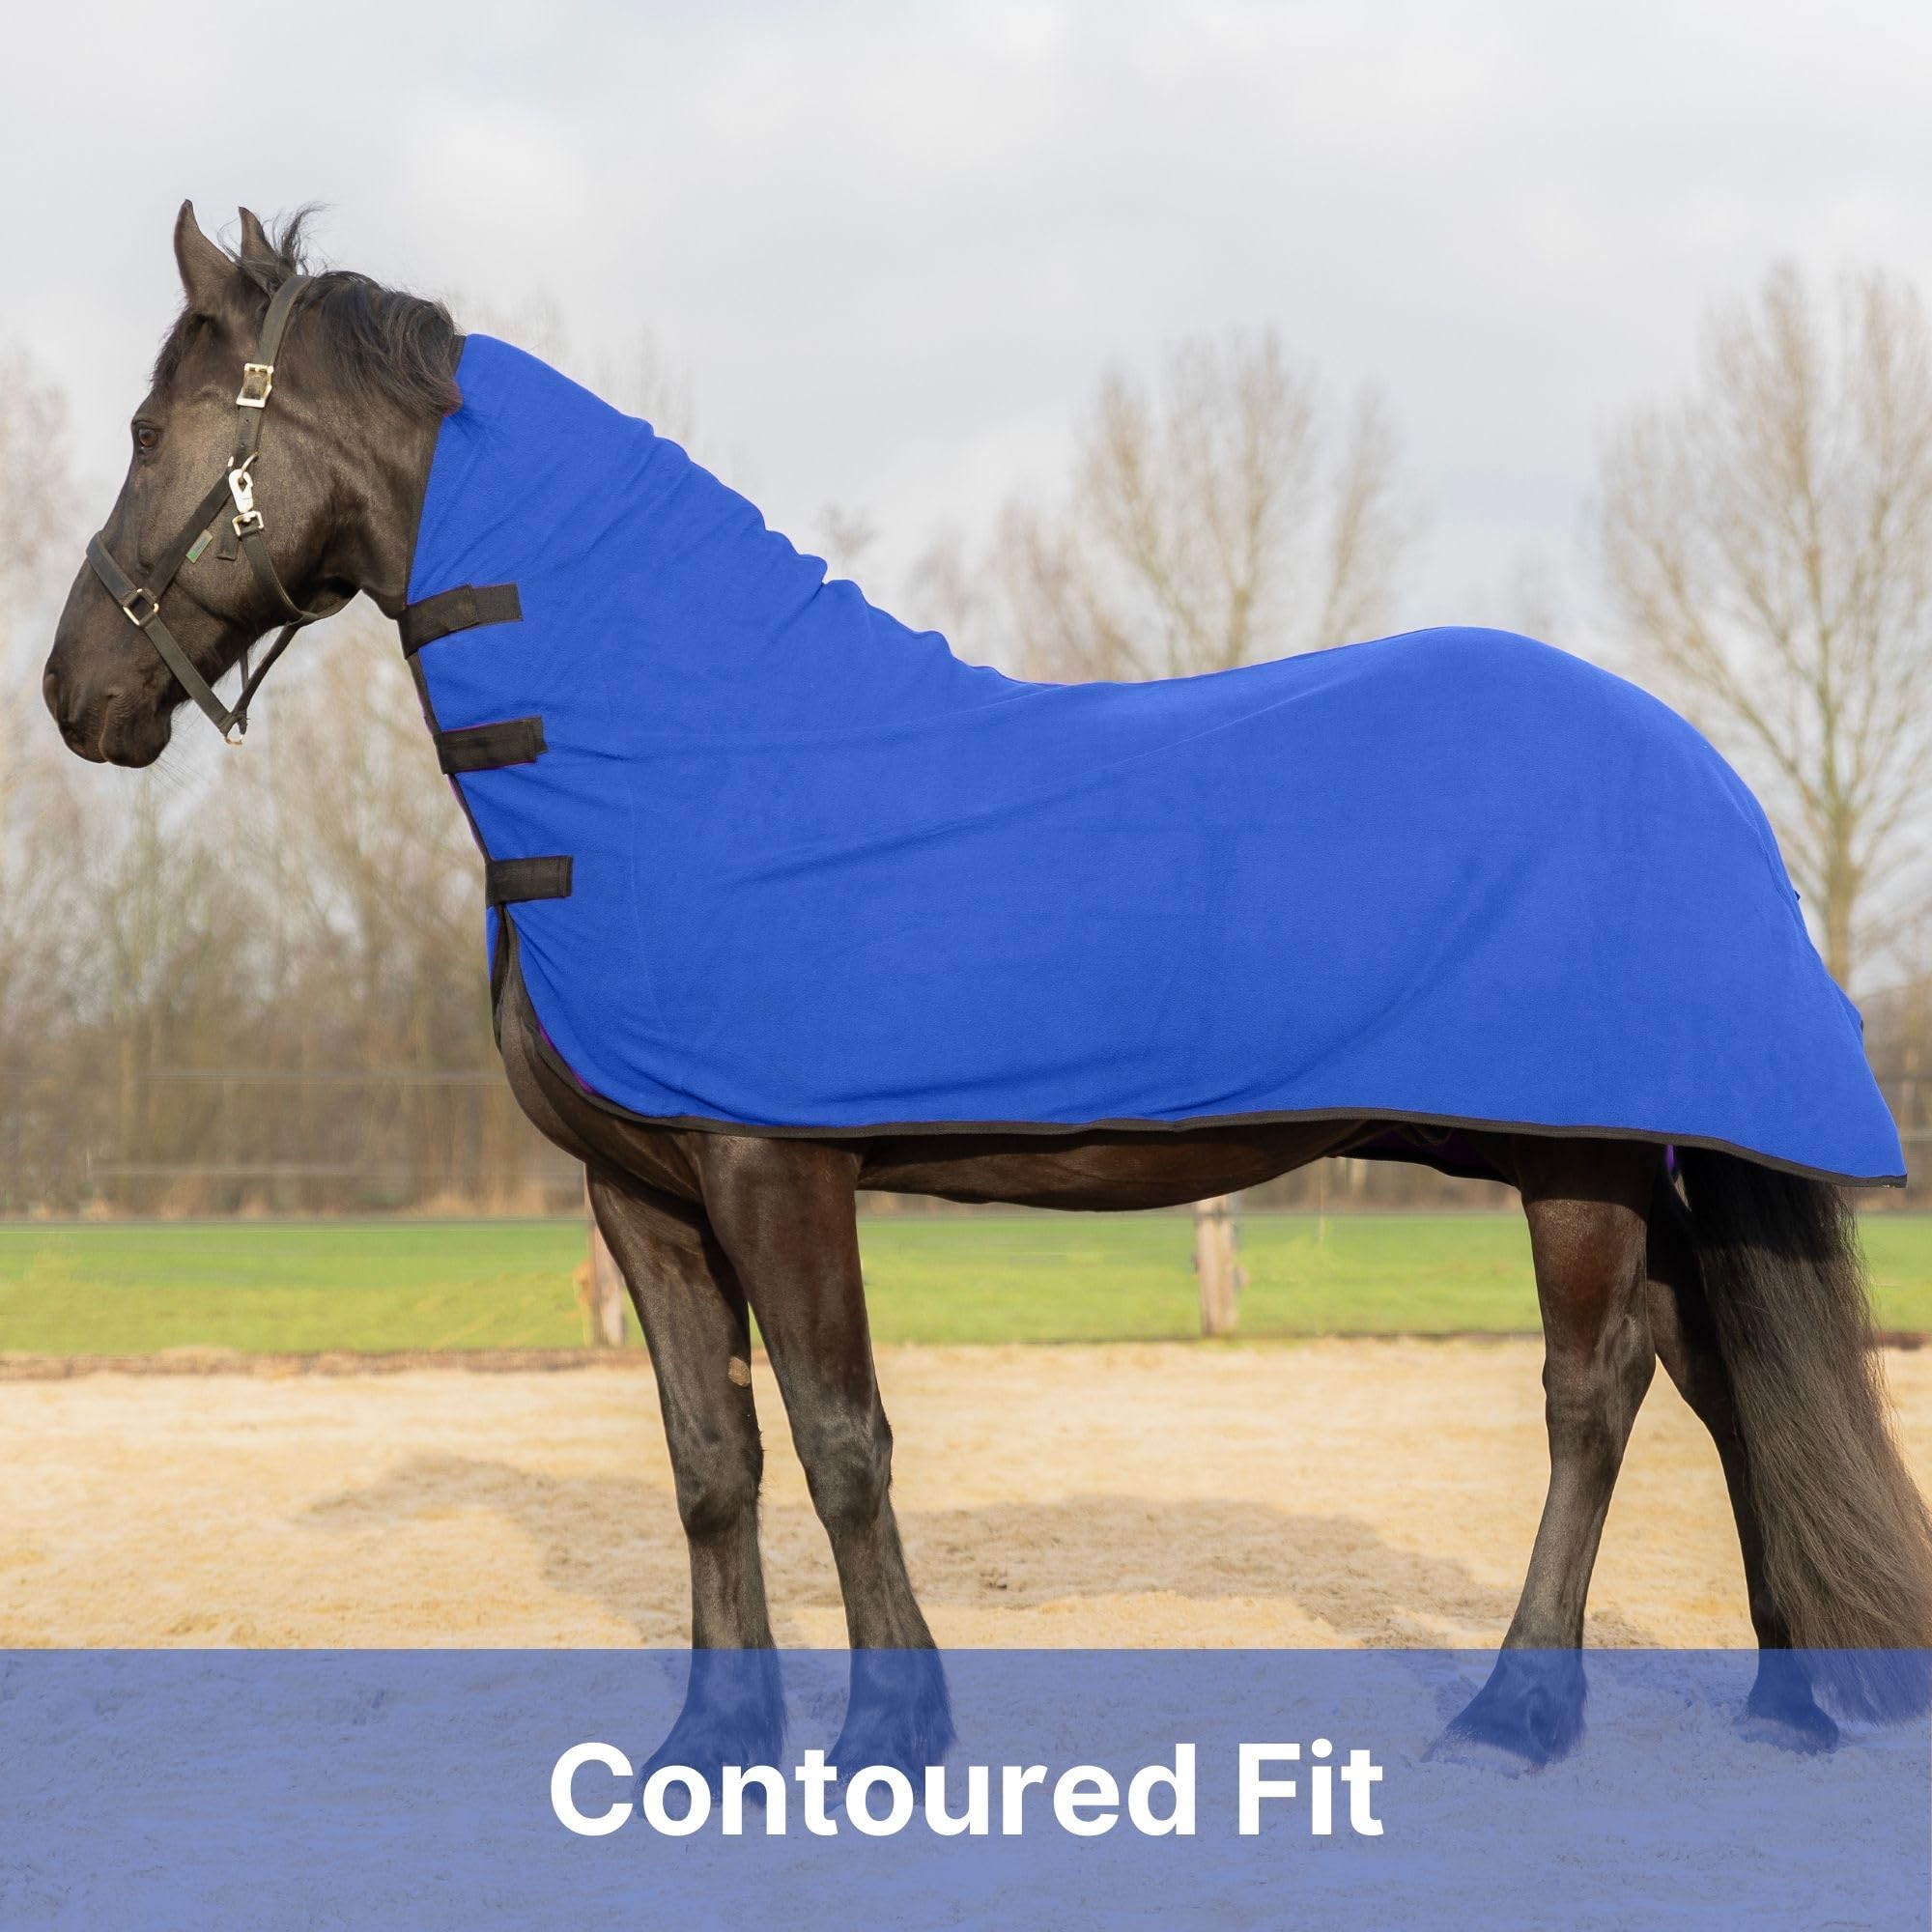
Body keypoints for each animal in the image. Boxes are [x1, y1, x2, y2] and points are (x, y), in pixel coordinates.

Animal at [43, 203, 1932, 1777]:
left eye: (148, 434)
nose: (76, 695)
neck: (678, 751)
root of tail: (1703, 770)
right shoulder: (640, 1193)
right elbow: (709, 1461)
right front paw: (711, 1745)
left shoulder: (774, 1169)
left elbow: (840, 1440)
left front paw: (892, 1732)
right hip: (1598, 1151)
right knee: (1714, 1370)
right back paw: (1784, 1704)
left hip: (1576, 1166)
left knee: (1593, 1399)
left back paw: (1518, 1713)